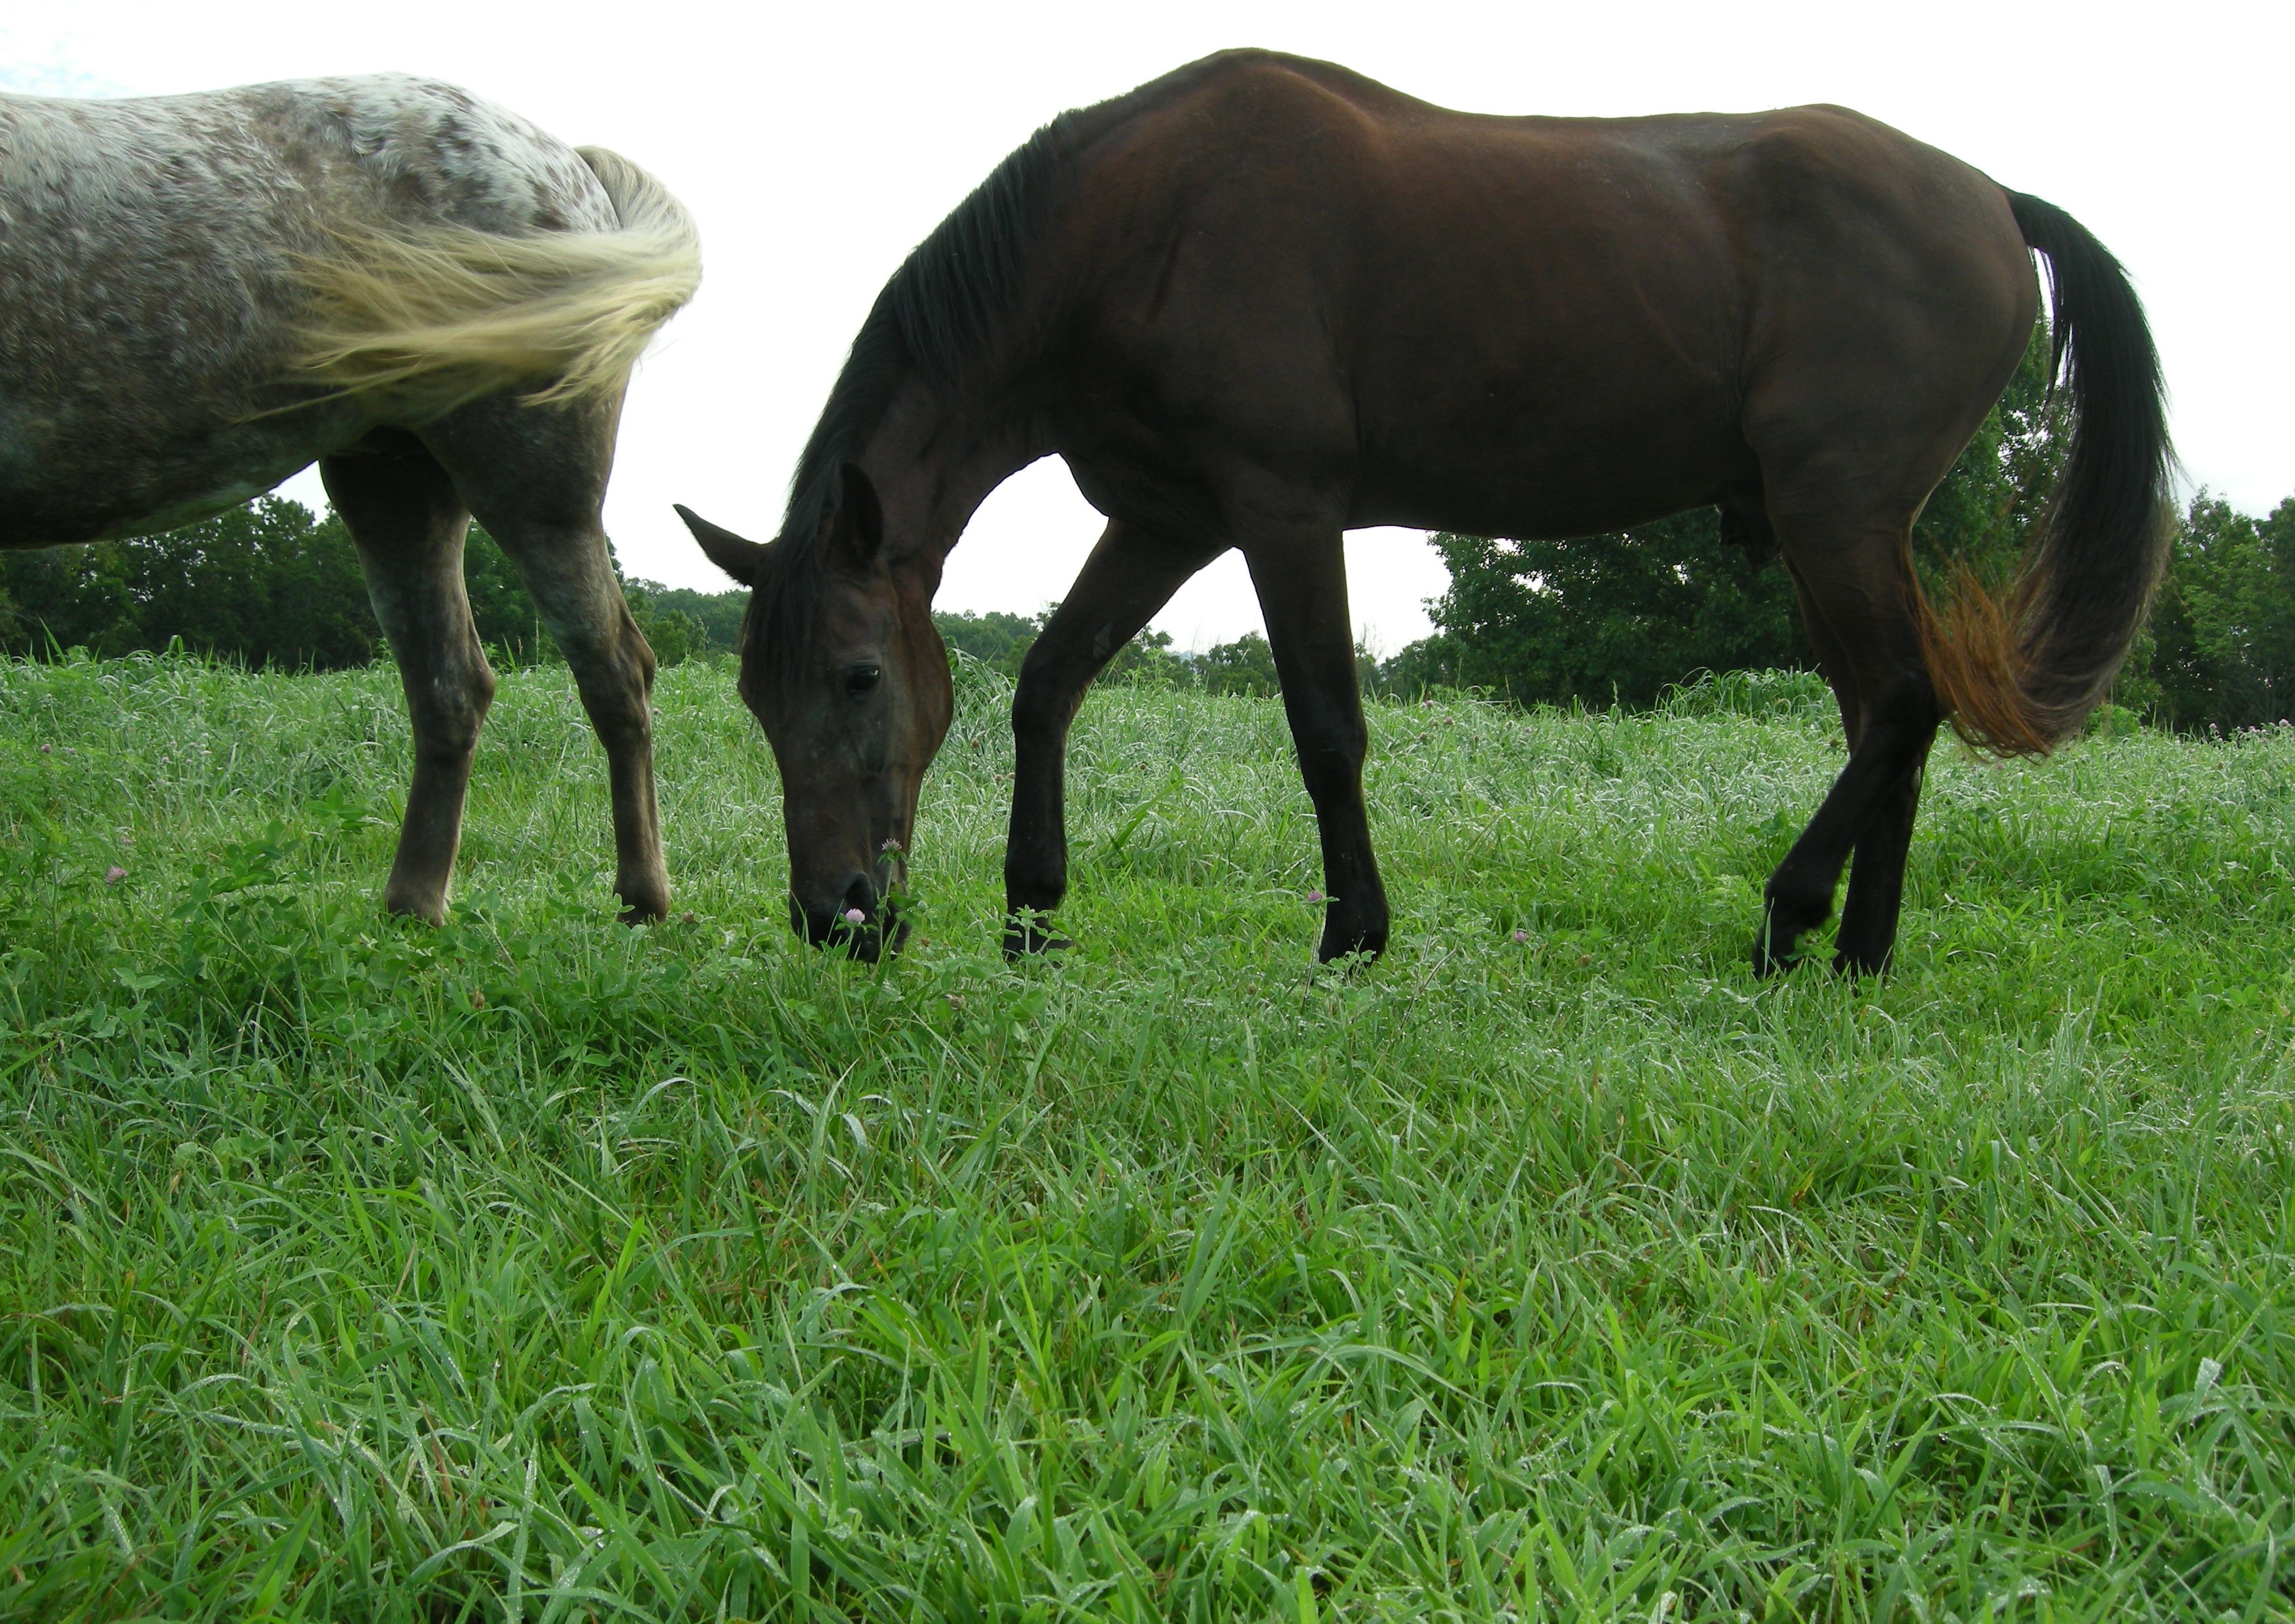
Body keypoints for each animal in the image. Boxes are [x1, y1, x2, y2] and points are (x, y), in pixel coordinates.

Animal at [1, 74, 699, 923]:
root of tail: (567, 163)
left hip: (533, 486)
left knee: (614, 669)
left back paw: (642, 898)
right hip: (395, 488)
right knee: (451, 688)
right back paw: (413, 906)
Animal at [677, 49, 2168, 972]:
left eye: (859, 676)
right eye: (754, 695)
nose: (837, 916)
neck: (1129, 229)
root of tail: (1990, 199)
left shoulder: (1281, 510)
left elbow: (1326, 728)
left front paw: (1354, 933)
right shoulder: (1166, 516)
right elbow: (1048, 681)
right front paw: (1034, 915)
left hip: (1835, 515)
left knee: (1902, 707)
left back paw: (1786, 921)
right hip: (1838, 535)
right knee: (1886, 722)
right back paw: (1858, 955)